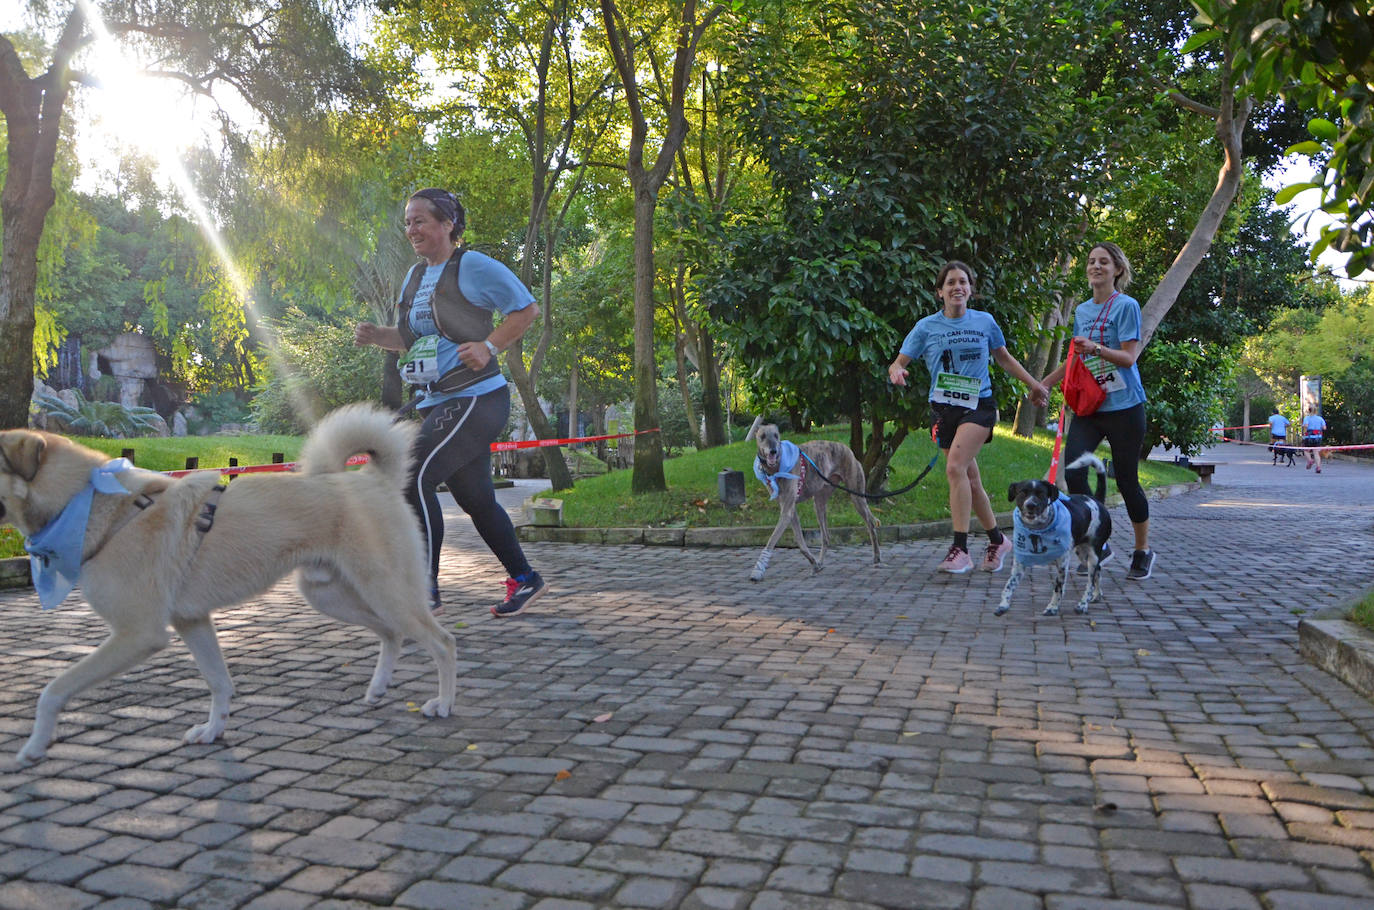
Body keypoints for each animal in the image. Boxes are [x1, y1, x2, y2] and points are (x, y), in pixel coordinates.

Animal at [0, 404, 461, 764]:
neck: (95, 504)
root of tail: (371, 478)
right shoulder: (192, 621)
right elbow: (219, 683)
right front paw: (212, 731)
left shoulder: (138, 634)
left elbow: (53, 689)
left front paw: (34, 747)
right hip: (331, 596)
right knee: (393, 633)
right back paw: (378, 688)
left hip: (385, 590)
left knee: (442, 642)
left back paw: (444, 703)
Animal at [752, 426, 879, 585]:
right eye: (762, 436)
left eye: (776, 435)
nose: (773, 451)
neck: (777, 467)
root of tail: (848, 449)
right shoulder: (790, 509)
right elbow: (801, 544)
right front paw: (814, 563)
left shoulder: (787, 510)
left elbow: (771, 540)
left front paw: (758, 570)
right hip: (819, 502)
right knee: (826, 537)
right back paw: (820, 562)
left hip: (857, 496)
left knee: (871, 524)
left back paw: (877, 557)